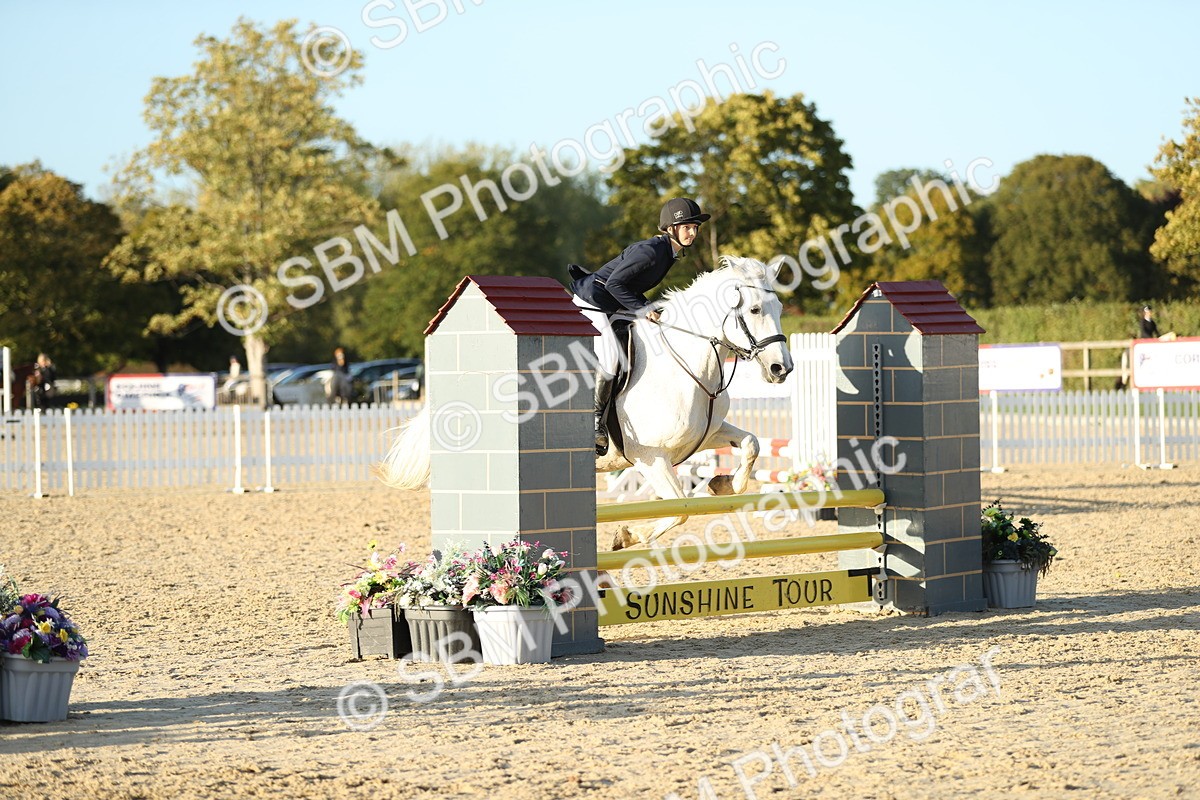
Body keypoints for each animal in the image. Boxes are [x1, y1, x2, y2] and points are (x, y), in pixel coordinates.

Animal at [376, 255, 794, 550]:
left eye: (779, 310)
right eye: (754, 310)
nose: (782, 368)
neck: (687, 361)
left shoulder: (706, 436)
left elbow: (751, 445)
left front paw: (722, 484)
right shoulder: (650, 458)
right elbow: (678, 511)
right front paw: (627, 536)